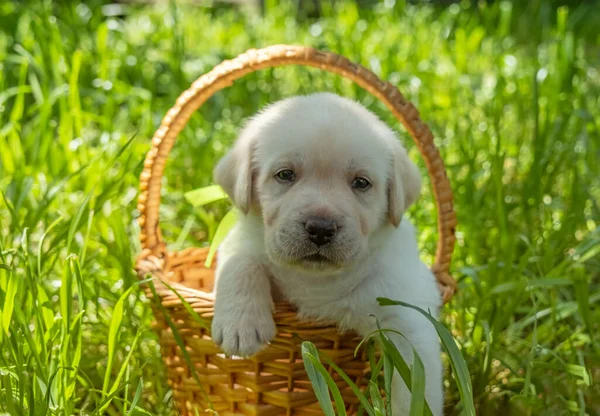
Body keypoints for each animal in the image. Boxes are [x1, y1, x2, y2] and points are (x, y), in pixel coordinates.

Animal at [212, 92, 446, 414]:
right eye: (285, 175)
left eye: (361, 183)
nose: (320, 228)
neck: (317, 281)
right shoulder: (243, 237)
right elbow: (240, 261)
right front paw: (241, 325)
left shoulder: (409, 320)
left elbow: (415, 390)